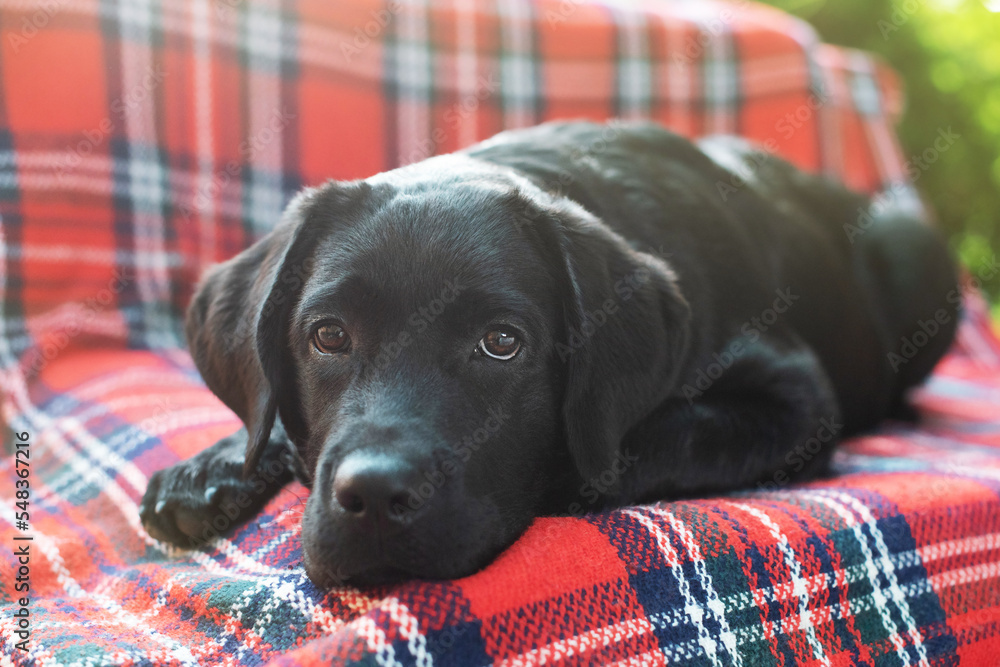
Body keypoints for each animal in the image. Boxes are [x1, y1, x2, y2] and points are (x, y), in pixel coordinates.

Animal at [143, 122, 960, 588]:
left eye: (502, 343)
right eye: (329, 335)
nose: (372, 495)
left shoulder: (796, 397)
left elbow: (649, 439)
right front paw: (214, 466)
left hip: (917, 252)